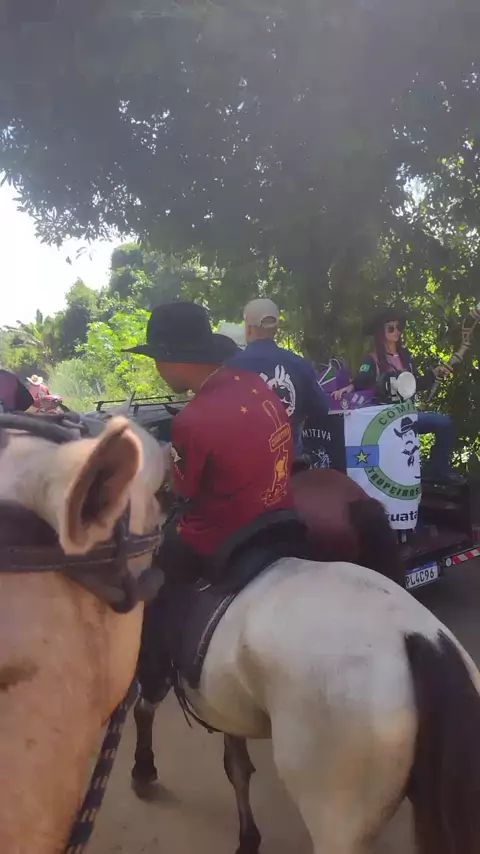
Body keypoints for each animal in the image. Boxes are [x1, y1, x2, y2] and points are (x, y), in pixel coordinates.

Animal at [132, 468, 480, 854]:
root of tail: (416, 638)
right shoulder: (223, 698)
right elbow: (236, 766)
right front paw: (248, 837)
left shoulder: (155, 658)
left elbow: (144, 707)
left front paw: (143, 770)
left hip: (335, 817)